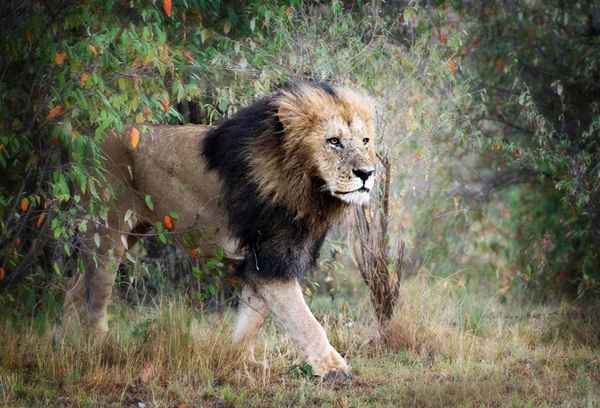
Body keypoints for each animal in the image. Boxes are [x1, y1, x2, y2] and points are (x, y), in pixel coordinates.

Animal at [64, 82, 376, 380]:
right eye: (333, 141)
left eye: (365, 141)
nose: (367, 173)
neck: (310, 191)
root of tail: (91, 138)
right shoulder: (273, 260)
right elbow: (306, 321)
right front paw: (335, 369)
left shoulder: (263, 263)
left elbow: (250, 320)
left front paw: (241, 361)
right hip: (108, 233)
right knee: (97, 299)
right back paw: (98, 348)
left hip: (131, 232)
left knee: (75, 290)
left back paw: (66, 343)